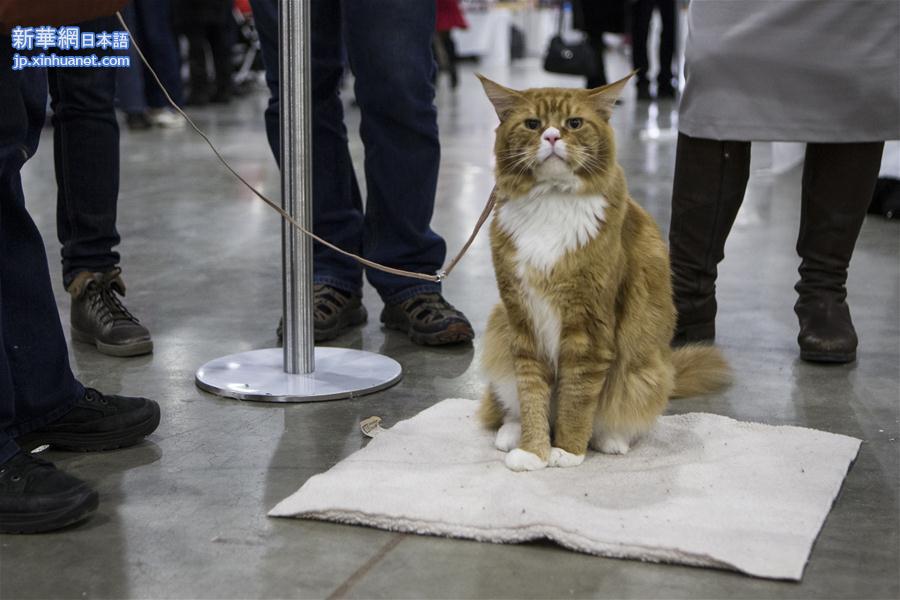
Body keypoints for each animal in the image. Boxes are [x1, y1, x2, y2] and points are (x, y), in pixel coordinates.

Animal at [478, 72, 732, 472]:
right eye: (533, 124)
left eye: (574, 123)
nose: (552, 137)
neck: (551, 201)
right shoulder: (522, 319)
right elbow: (533, 394)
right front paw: (534, 450)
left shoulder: (589, 325)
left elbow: (577, 397)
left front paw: (567, 449)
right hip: (498, 329)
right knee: (508, 404)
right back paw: (511, 433)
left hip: (643, 372)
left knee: (614, 414)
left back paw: (611, 440)